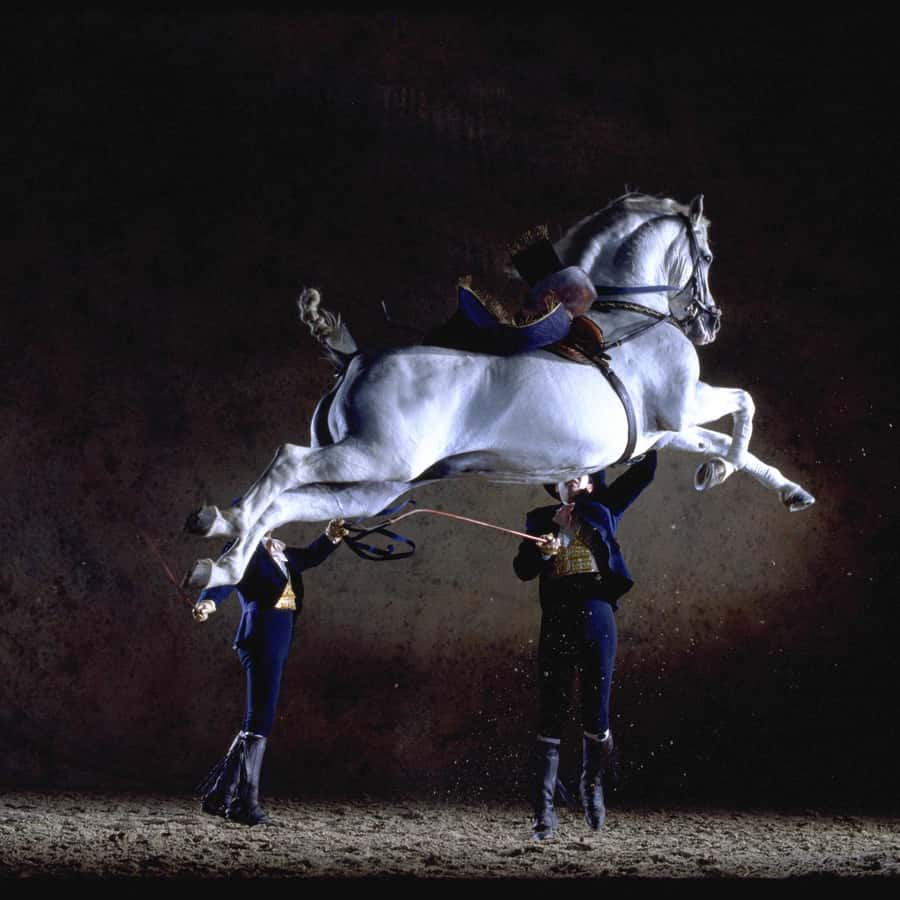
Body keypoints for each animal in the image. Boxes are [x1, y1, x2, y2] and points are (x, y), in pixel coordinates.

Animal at [183, 193, 815, 590]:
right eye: (705, 255)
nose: (710, 323)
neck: (627, 315)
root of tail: (353, 358)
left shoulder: (661, 432)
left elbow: (725, 441)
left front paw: (778, 487)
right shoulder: (685, 405)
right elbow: (744, 405)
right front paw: (720, 471)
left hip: (374, 488)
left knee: (288, 504)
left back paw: (219, 565)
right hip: (374, 457)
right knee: (286, 465)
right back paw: (223, 522)